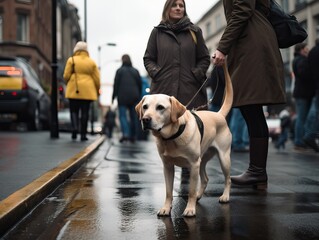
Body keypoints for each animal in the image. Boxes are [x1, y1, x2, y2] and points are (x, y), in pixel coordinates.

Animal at [136, 62, 234, 217]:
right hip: (202, 160)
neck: (171, 137)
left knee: (228, 179)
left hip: (223, 158)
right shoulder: (167, 166)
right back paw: (200, 195)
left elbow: (191, 191)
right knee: (205, 179)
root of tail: (219, 114)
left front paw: (190, 209)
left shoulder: (193, 165)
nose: (145, 120)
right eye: (145, 107)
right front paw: (166, 208)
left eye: (160, 107)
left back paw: (225, 196)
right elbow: (168, 191)